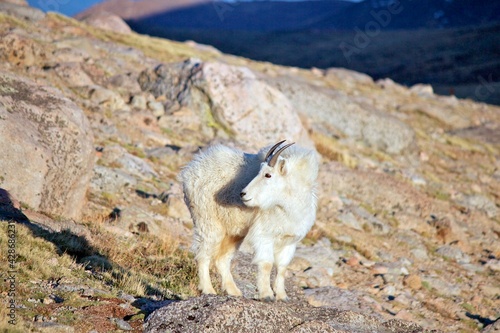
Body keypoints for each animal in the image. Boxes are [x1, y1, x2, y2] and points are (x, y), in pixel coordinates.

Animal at [181, 139, 320, 300]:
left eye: (268, 175)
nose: (243, 194)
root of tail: (189, 172)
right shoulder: (264, 235)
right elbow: (266, 264)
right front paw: (267, 295)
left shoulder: (290, 240)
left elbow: (282, 267)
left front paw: (282, 296)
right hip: (208, 223)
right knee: (203, 255)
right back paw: (208, 290)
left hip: (234, 232)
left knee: (222, 259)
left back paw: (234, 292)